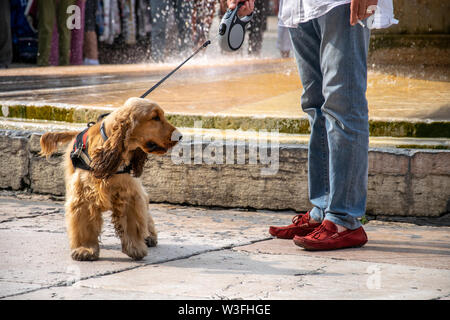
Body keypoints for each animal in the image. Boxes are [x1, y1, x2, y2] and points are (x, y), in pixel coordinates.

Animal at [40, 99, 181, 262]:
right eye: (155, 118)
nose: (180, 136)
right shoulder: (84, 195)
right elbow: (84, 224)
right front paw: (85, 249)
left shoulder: (128, 193)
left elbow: (132, 222)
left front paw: (135, 248)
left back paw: (149, 236)